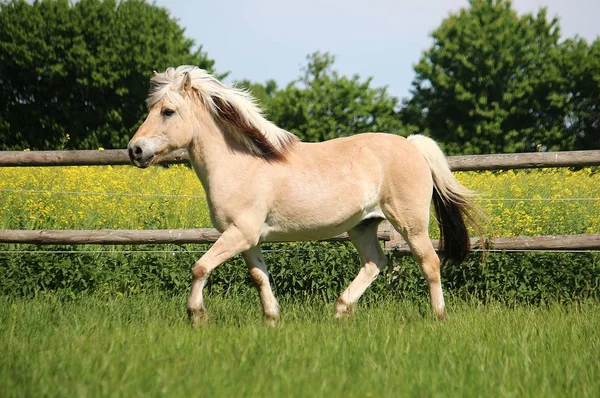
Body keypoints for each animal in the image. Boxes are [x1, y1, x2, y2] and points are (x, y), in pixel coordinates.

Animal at [127, 66, 478, 326]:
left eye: (168, 111)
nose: (135, 150)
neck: (239, 163)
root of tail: (413, 145)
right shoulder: (248, 239)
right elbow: (259, 276)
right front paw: (271, 319)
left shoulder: (240, 233)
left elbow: (200, 267)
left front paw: (197, 316)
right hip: (363, 226)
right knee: (375, 262)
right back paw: (340, 310)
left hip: (410, 223)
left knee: (429, 262)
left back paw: (439, 317)